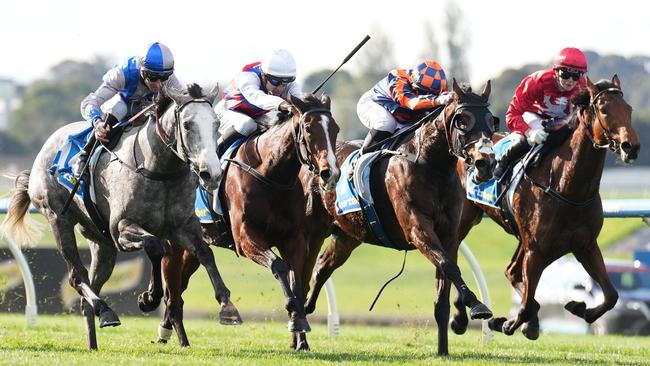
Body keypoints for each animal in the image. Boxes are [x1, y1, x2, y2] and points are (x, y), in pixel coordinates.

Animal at [0, 83, 240, 348]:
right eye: (187, 124)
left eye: (216, 123)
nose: (212, 174)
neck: (158, 169)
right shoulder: (121, 229)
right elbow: (154, 246)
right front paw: (149, 298)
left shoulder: (183, 227)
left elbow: (205, 253)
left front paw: (228, 307)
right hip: (57, 218)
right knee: (76, 276)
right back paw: (105, 311)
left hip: (101, 242)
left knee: (91, 286)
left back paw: (93, 341)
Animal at [157, 93, 340, 348]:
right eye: (309, 129)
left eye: (335, 129)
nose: (330, 173)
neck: (271, 175)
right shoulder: (245, 237)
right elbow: (278, 266)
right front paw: (294, 315)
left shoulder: (293, 240)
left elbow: (297, 281)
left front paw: (300, 333)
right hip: (174, 244)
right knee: (172, 291)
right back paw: (180, 339)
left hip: (193, 246)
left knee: (180, 286)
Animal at [302, 81, 494, 354]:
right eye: (462, 121)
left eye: (491, 120)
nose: (485, 163)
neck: (431, 165)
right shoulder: (417, 229)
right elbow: (448, 265)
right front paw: (476, 305)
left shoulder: (449, 235)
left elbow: (444, 289)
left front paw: (443, 349)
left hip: (347, 236)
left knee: (321, 267)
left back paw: (306, 307)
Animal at [454, 76, 640, 342]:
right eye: (604, 109)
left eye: (629, 109)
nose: (630, 147)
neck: (567, 188)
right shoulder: (536, 250)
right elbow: (525, 303)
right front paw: (508, 323)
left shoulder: (585, 245)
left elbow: (612, 295)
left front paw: (579, 307)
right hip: (463, 221)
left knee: (512, 272)